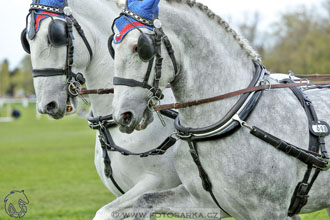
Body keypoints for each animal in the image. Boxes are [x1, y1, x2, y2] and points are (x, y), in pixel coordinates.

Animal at [110, 0, 330, 220]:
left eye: (139, 47)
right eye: (113, 47)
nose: (122, 115)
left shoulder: (270, 211)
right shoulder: (203, 201)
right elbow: (144, 200)